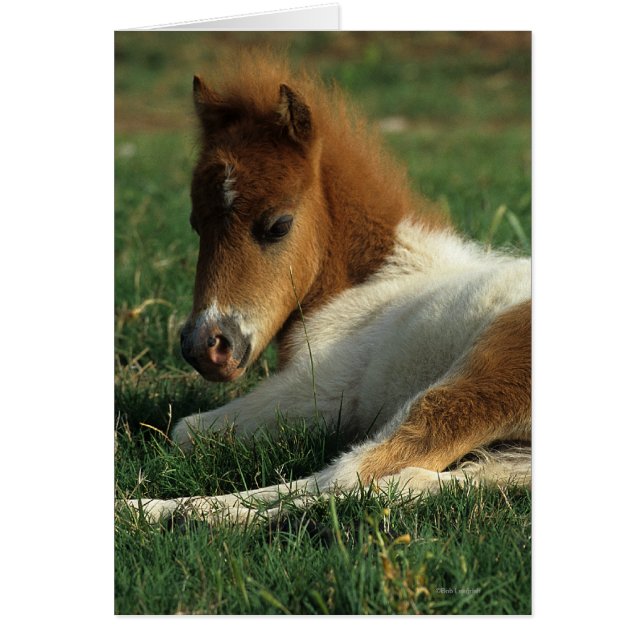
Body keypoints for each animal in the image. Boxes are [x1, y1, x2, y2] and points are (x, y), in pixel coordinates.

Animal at [130, 54, 531, 524]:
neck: (377, 279)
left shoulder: (316, 392)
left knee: (351, 472)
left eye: (278, 225)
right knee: (408, 481)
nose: (206, 346)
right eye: (196, 224)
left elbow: (186, 431)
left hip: (481, 384)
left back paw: (162, 512)